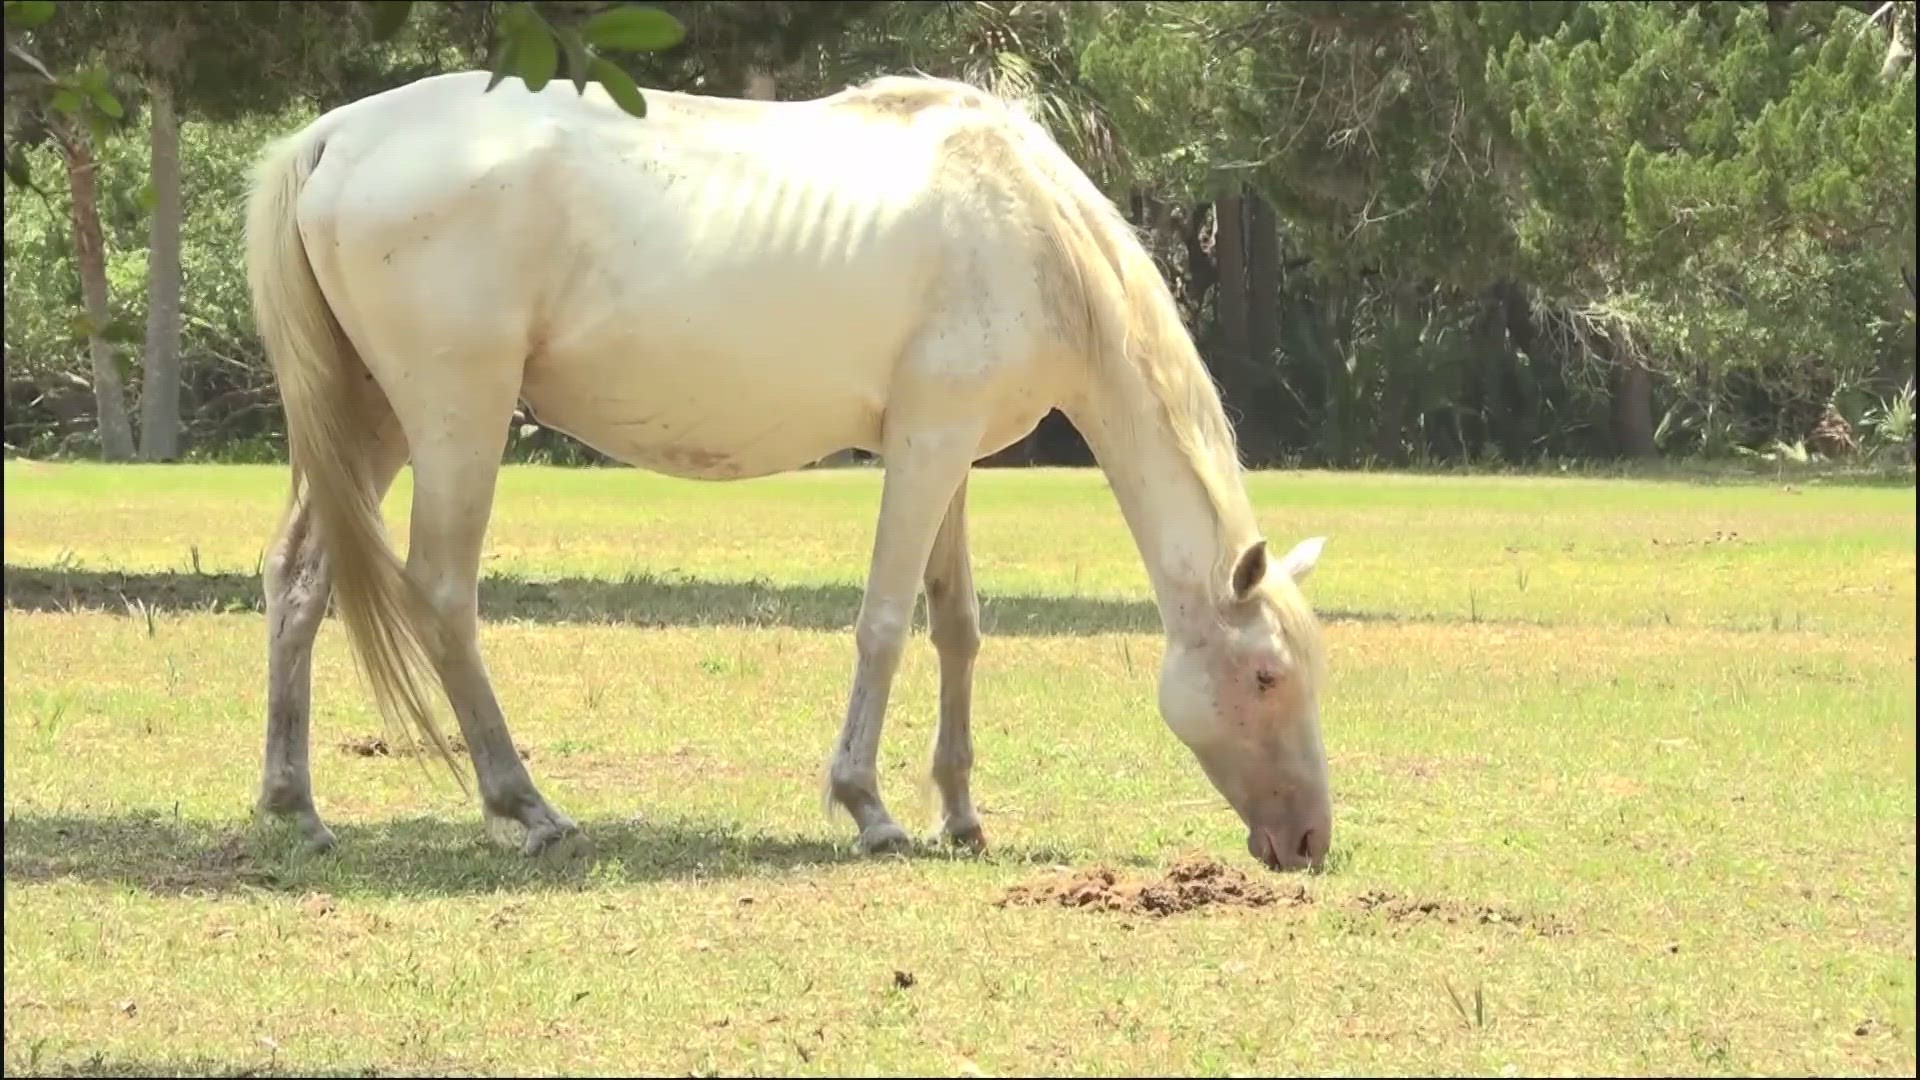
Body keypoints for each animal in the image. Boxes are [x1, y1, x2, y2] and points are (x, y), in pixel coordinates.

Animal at [243, 73, 1336, 864]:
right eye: (1267, 675)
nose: (1309, 843)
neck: (1025, 226)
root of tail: (336, 135)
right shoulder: (925, 449)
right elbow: (886, 625)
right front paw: (871, 809)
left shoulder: (952, 453)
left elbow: (958, 628)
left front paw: (962, 815)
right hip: (454, 418)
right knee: (442, 592)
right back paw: (527, 806)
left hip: (371, 421)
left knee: (297, 578)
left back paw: (296, 807)